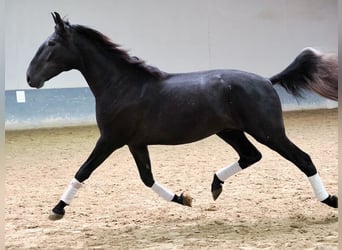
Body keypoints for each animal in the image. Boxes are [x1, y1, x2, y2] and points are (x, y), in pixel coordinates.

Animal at [26, 12, 336, 220]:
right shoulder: (135, 143)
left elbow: (83, 171)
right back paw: (215, 185)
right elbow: (147, 178)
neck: (122, 85)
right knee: (251, 155)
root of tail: (267, 81)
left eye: (51, 44)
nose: (30, 78)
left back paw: (330, 200)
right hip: (230, 131)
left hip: (269, 132)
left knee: (303, 159)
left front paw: (57, 209)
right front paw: (183, 198)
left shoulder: (110, 140)